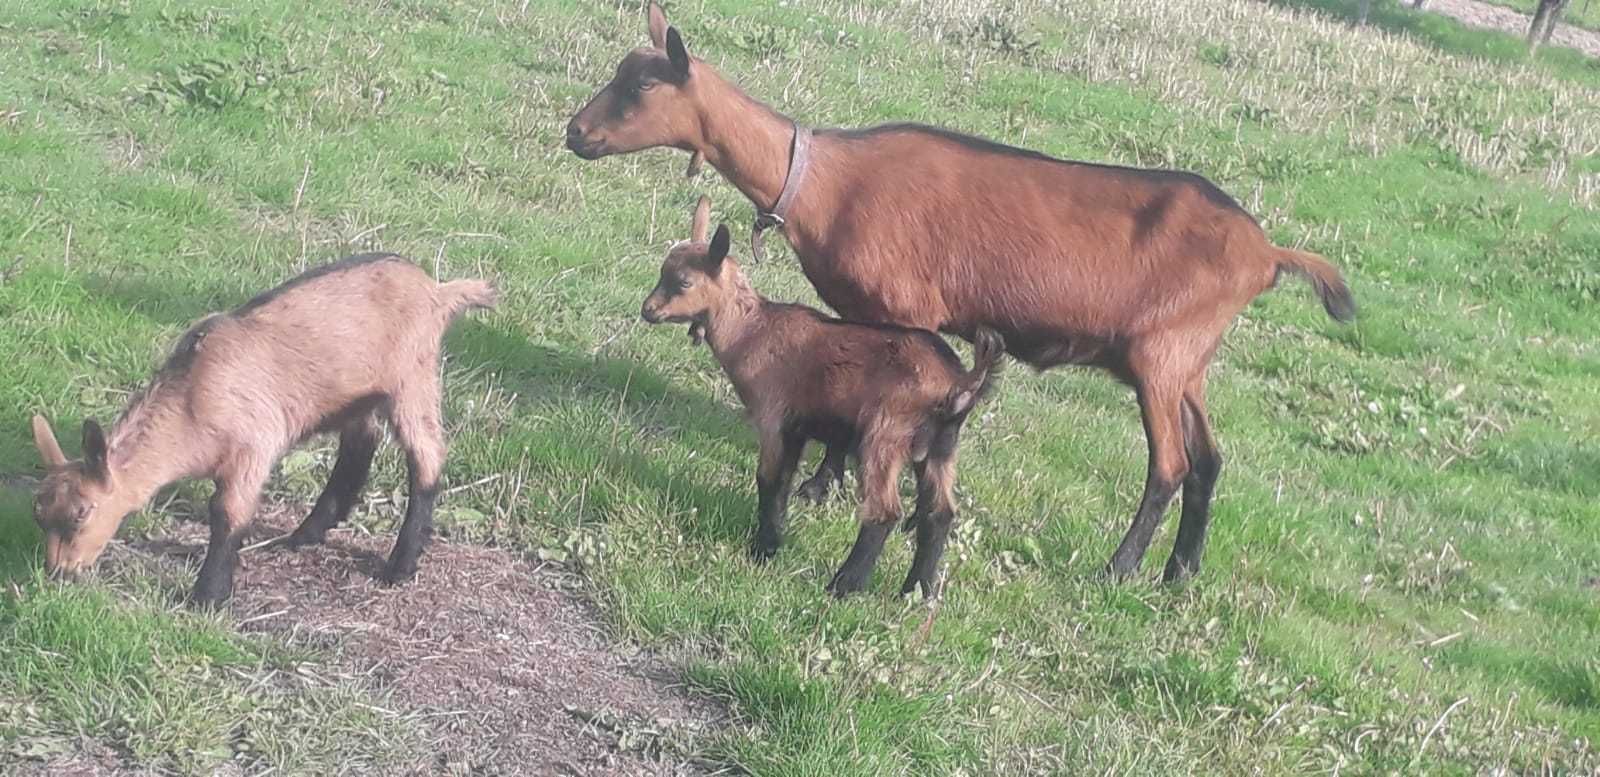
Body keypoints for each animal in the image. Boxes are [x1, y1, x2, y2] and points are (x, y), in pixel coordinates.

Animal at [569, 1, 1356, 581]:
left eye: (642, 85)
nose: (575, 133)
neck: (823, 182)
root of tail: (1267, 252)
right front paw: (841, 487)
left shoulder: (905, 309)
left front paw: (828, 490)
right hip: (1191, 359)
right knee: (1210, 460)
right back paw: (1180, 572)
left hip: (1159, 354)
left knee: (1170, 464)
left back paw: (1119, 568)